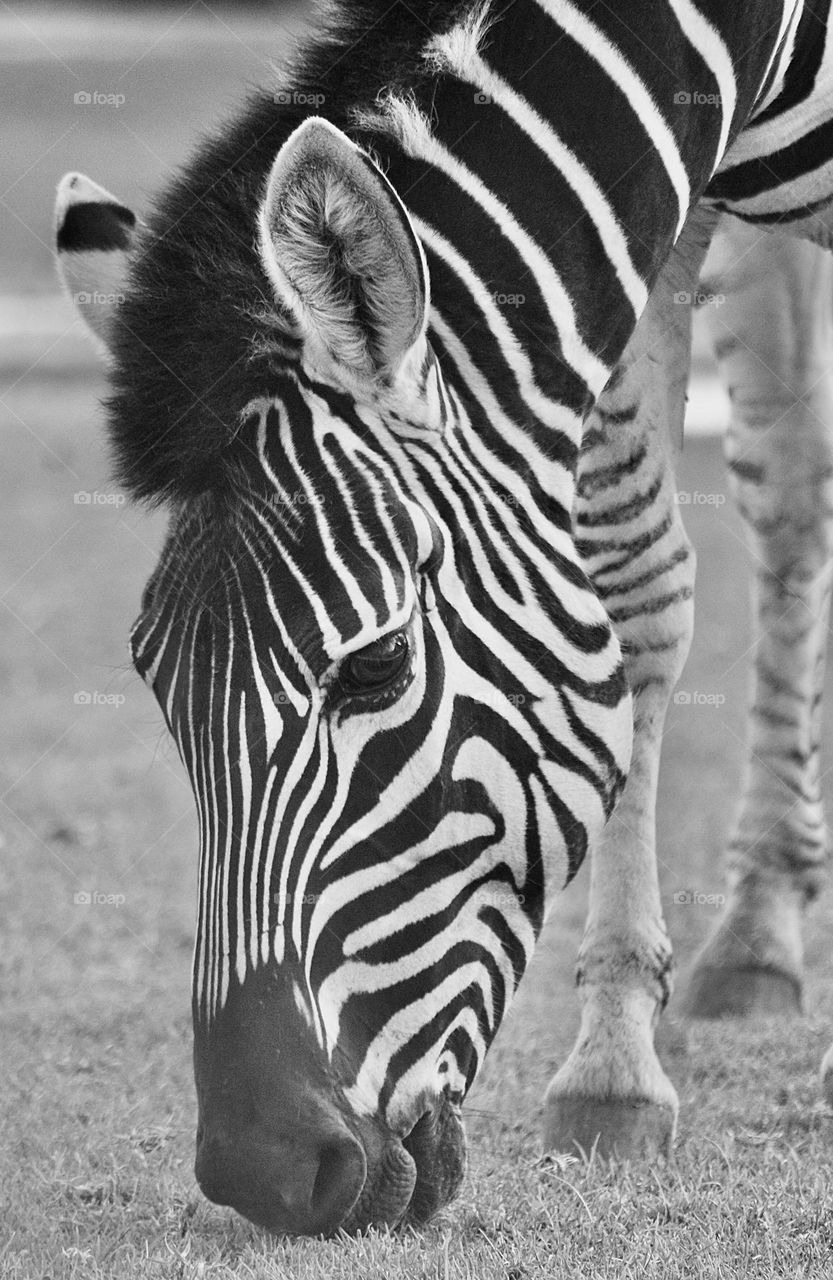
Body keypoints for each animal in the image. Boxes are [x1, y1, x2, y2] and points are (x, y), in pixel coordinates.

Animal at [53, 0, 833, 1239]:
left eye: (373, 664)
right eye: (153, 680)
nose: (264, 1169)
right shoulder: (643, 217)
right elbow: (633, 586)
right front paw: (613, 1069)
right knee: (793, 494)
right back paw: (756, 932)